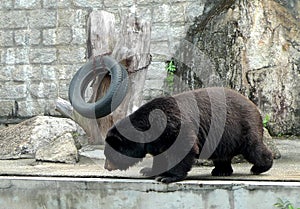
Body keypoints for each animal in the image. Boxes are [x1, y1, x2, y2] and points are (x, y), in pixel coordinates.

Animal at [104, 87, 274, 184]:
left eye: (109, 154)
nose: (106, 167)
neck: (149, 128)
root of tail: (253, 105)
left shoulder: (172, 126)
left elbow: (182, 148)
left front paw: (167, 177)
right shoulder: (158, 140)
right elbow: (161, 155)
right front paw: (149, 170)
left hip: (240, 126)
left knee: (253, 148)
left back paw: (259, 167)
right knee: (222, 154)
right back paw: (222, 170)